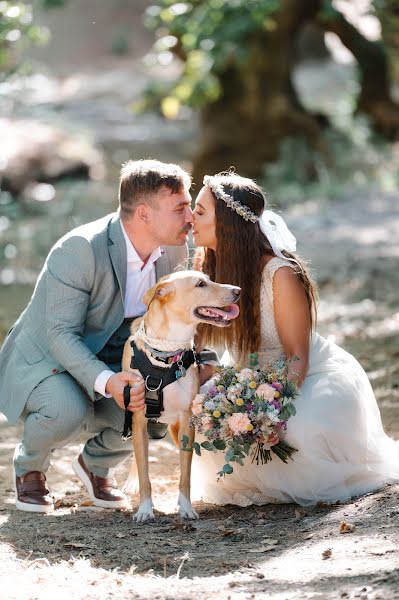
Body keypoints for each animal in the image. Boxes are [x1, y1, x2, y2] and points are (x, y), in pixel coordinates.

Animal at [122, 270, 241, 524]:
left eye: (208, 279)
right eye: (200, 284)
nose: (238, 290)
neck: (165, 354)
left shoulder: (187, 420)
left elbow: (185, 473)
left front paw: (186, 507)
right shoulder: (138, 417)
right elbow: (145, 471)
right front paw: (144, 508)